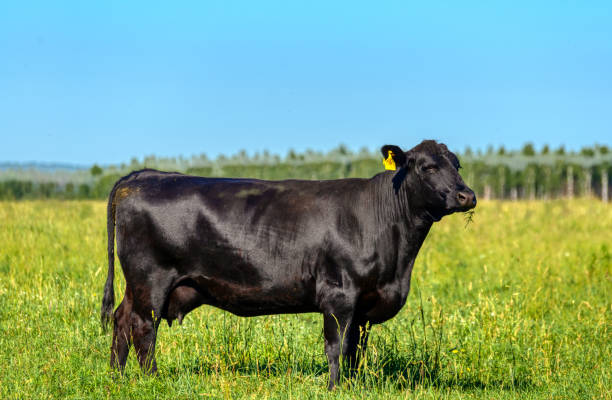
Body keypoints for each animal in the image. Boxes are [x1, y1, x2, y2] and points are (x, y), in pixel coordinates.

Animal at [100, 139, 476, 390]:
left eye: (457, 165)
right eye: (428, 167)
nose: (467, 196)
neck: (399, 260)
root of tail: (141, 176)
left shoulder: (365, 303)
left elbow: (356, 350)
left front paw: (353, 386)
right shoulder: (339, 295)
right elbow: (337, 346)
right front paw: (335, 388)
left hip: (137, 283)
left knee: (121, 320)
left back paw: (117, 378)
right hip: (151, 279)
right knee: (143, 328)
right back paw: (151, 380)